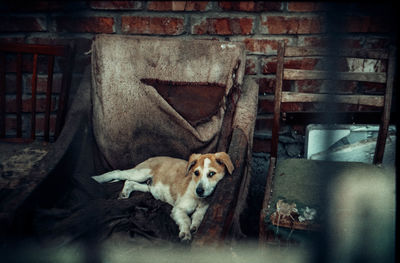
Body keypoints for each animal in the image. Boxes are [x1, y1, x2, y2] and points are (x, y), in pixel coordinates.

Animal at [92, 153, 233, 241]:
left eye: (211, 174)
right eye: (196, 173)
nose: (199, 191)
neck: (199, 199)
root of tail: (151, 158)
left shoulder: (203, 209)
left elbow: (198, 217)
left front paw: (194, 227)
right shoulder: (178, 209)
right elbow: (185, 219)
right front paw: (185, 233)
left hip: (148, 186)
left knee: (129, 182)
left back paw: (124, 193)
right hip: (140, 173)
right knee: (117, 173)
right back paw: (97, 178)